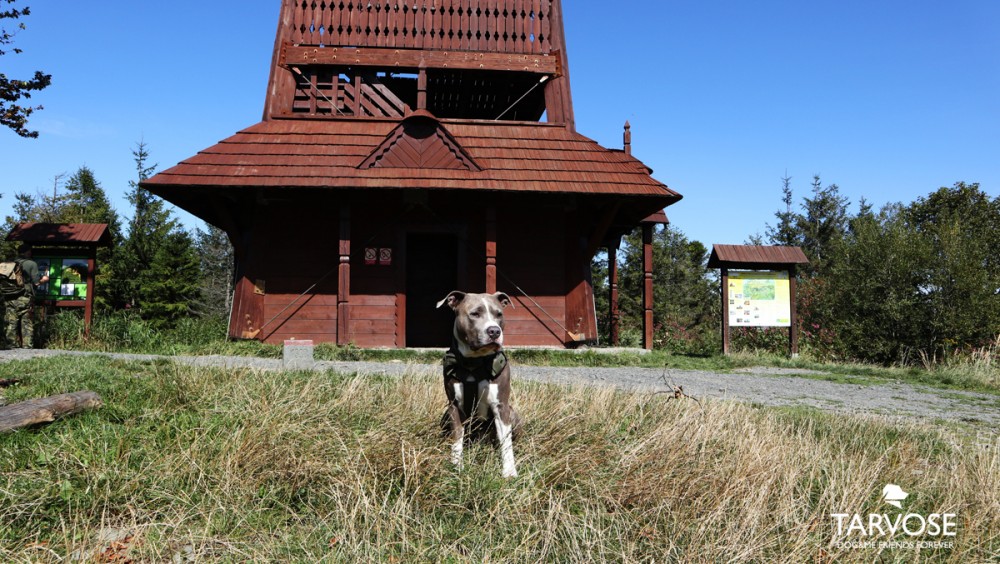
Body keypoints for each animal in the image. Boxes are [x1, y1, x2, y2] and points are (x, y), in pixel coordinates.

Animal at [438, 290, 524, 480]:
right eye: (474, 314)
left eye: (499, 314)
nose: (494, 331)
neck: (473, 363)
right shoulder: (454, 407)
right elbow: (457, 439)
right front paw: (457, 466)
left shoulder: (501, 406)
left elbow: (506, 442)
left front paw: (509, 471)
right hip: (446, 415)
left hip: (512, 413)